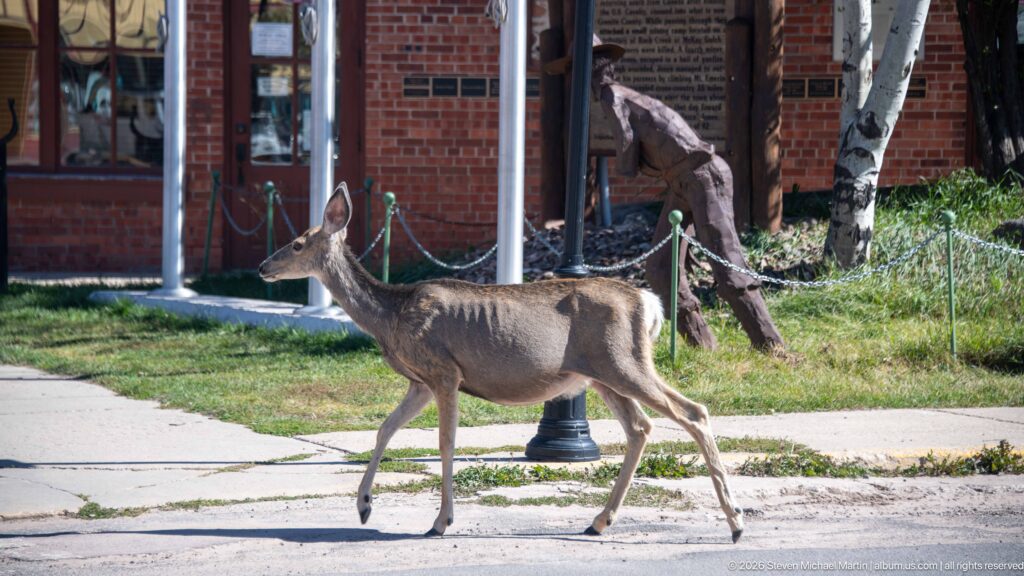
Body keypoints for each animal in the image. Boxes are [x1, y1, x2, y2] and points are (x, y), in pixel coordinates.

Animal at [259, 182, 745, 542]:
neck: (392, 317)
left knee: (693, 412)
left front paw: (441, 522)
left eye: (297, 243)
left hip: (623, 362)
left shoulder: (444, 372)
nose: (264, 266)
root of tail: (651, 304)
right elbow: (384, 430)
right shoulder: (420, 381)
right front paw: (363, 506)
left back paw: (736, 522)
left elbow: (445, 444)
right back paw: (599, 521)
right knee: (641, 427)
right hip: (603, 373)